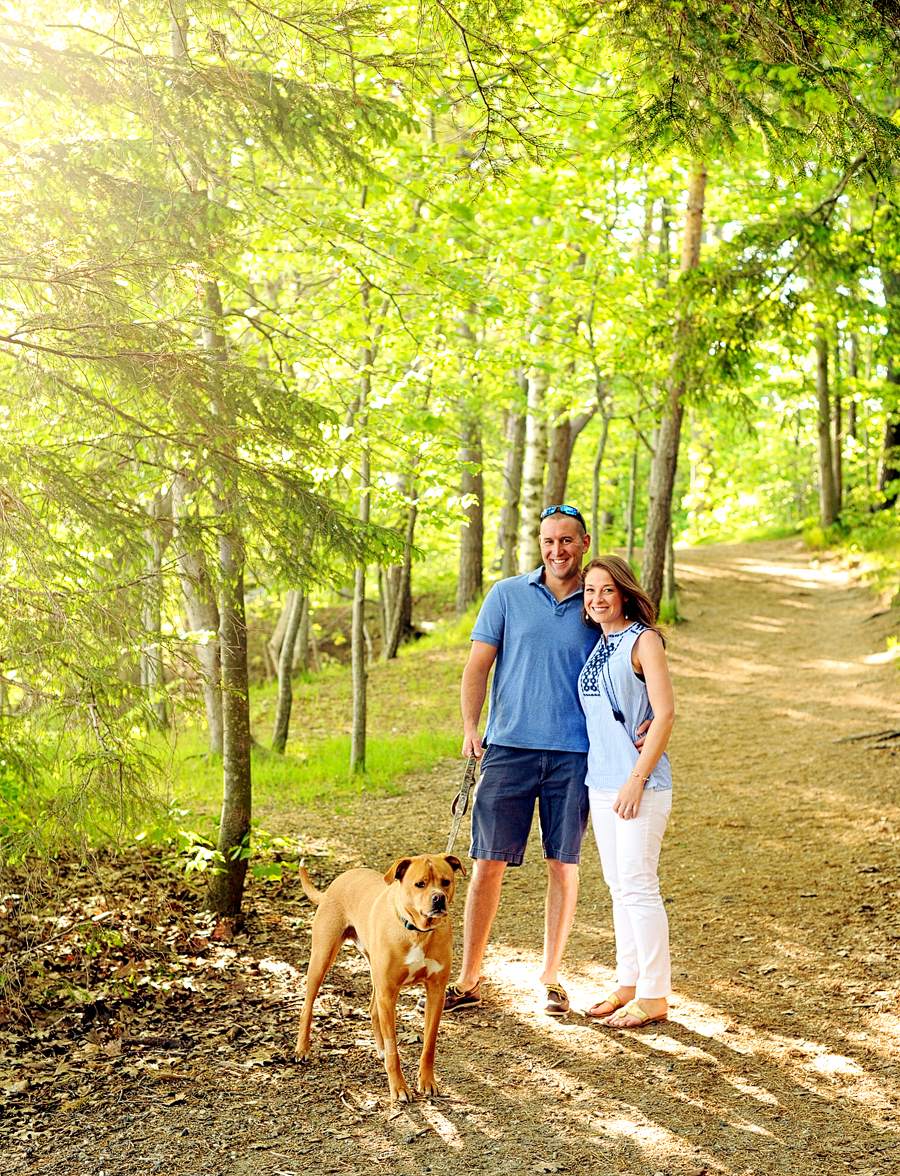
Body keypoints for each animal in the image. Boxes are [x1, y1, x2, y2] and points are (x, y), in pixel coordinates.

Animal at [296, 856, 465, 1100]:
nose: (439, 898)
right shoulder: (389, 991)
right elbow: (394, 1047)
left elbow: (429, 1044)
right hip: (322, 957)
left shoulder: (436, 992)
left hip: (374, 971)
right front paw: (399, 1087)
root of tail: (334, 884)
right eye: (420, 884)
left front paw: (427, 1081)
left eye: (445, 882)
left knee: (373, 1009)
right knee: (307, 1005)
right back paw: (302, 1048)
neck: (417, 932)